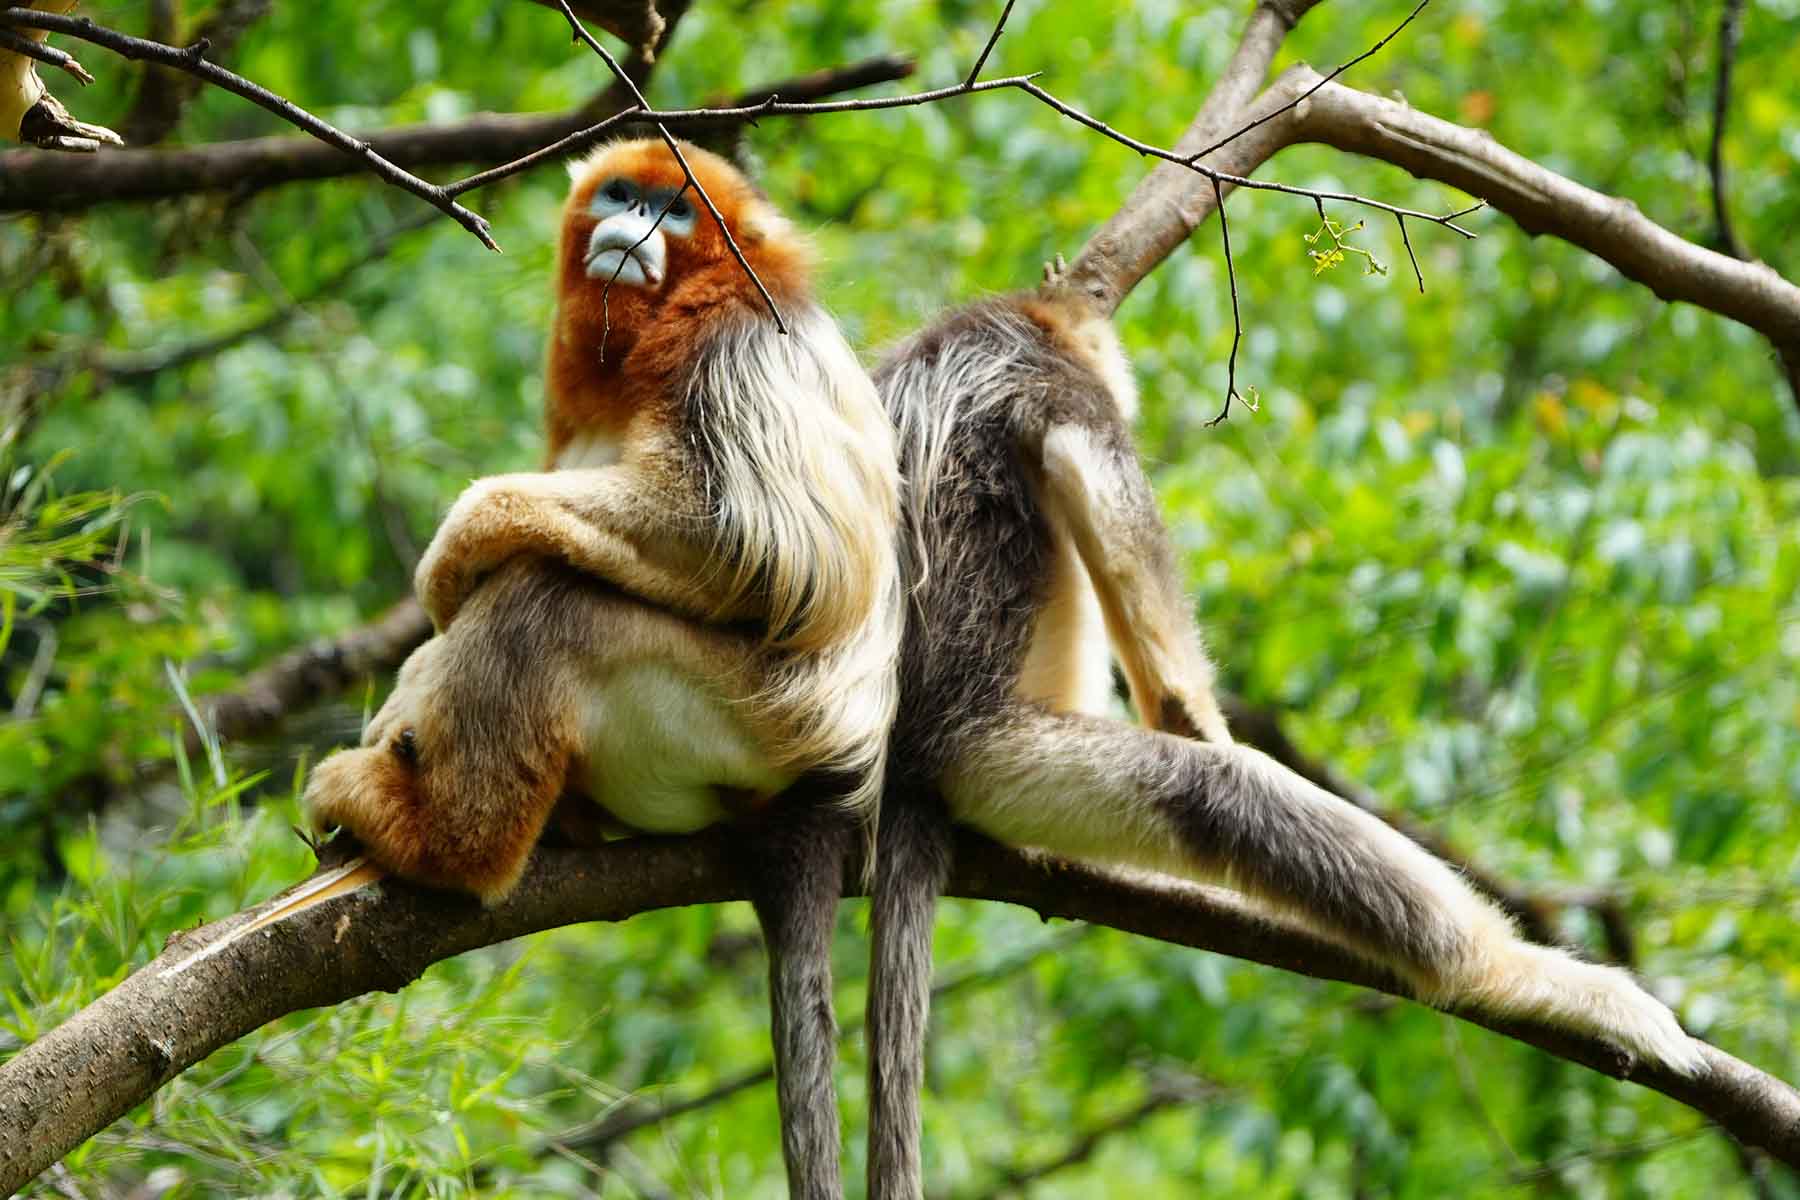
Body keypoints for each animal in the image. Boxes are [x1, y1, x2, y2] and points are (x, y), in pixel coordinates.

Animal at [303, 139, 901, 1200]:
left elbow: (774, 550)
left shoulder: (739, 341)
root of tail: (834, 779)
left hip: (751, 720)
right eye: (621, 194)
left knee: (552, 595)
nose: (632, 224)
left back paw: (450, 844)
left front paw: (461, 543)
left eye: (676, 208)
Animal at [860, 273, 1707, 1199]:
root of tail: (907, 763)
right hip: (996, 758)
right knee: (1225, 793)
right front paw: (1204, 726)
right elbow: (1164, 659)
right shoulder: (1061, 389)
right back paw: (1519, 976)